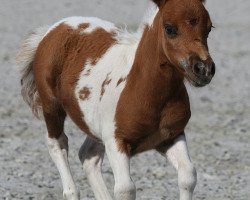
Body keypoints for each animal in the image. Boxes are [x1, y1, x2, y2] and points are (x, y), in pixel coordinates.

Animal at [17, 0, 215, 200]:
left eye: (209, 28)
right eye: (169, 28)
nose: (203, 69)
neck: (145, 90)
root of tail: (54, 28)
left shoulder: (171, 136)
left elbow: (187, 176)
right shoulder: (115, 141)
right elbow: (125, 189)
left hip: (94, 123)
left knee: (88, 155)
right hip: (52, 106)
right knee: (57, 144)